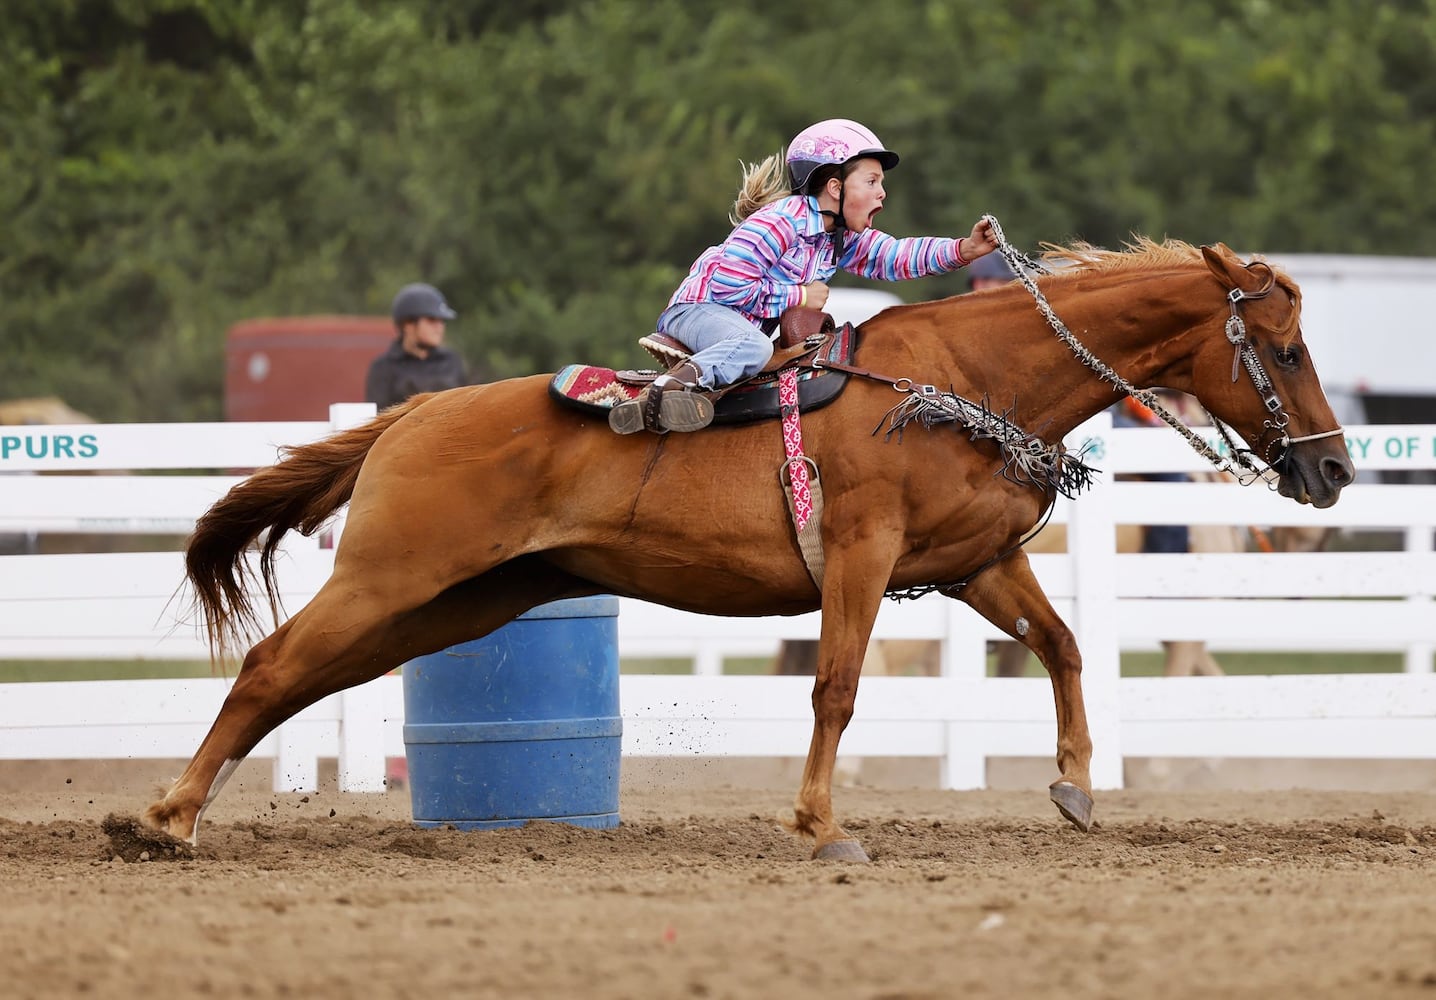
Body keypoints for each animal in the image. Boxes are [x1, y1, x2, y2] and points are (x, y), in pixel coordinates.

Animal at [148, 235, 1355, 862]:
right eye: (1288, 349)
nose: (1334, 470)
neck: (958, 384)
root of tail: (410, 415)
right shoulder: (865, 554)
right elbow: (835, 687)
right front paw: (822, 824)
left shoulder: (973, 566)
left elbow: (1061, 647)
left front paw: (1073, 787)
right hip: (393, 575)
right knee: (272, 666)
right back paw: (166, 820)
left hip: (463, 597)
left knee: (305, 680)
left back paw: (186, 809)